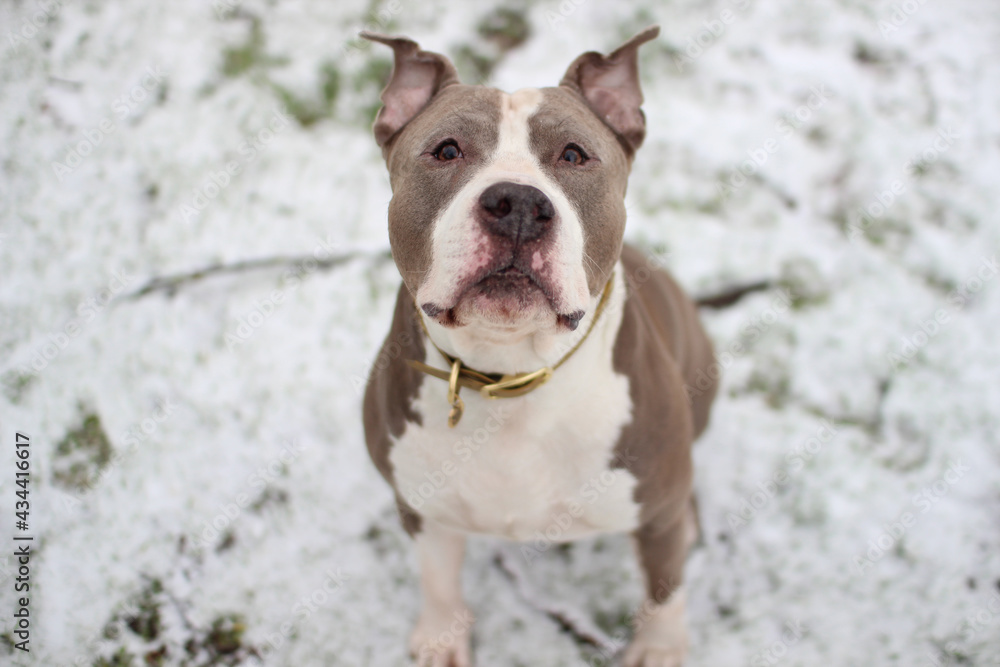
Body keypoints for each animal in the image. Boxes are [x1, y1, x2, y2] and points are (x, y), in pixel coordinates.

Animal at [360, 27, 720, 667]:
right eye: (446, 150)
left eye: (573, 155)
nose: (518, 205)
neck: (512, 376)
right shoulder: (421, 508)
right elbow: (437, 576)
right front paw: (442, 636)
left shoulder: (656, 516)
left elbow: (665, 586)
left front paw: (659, 647)